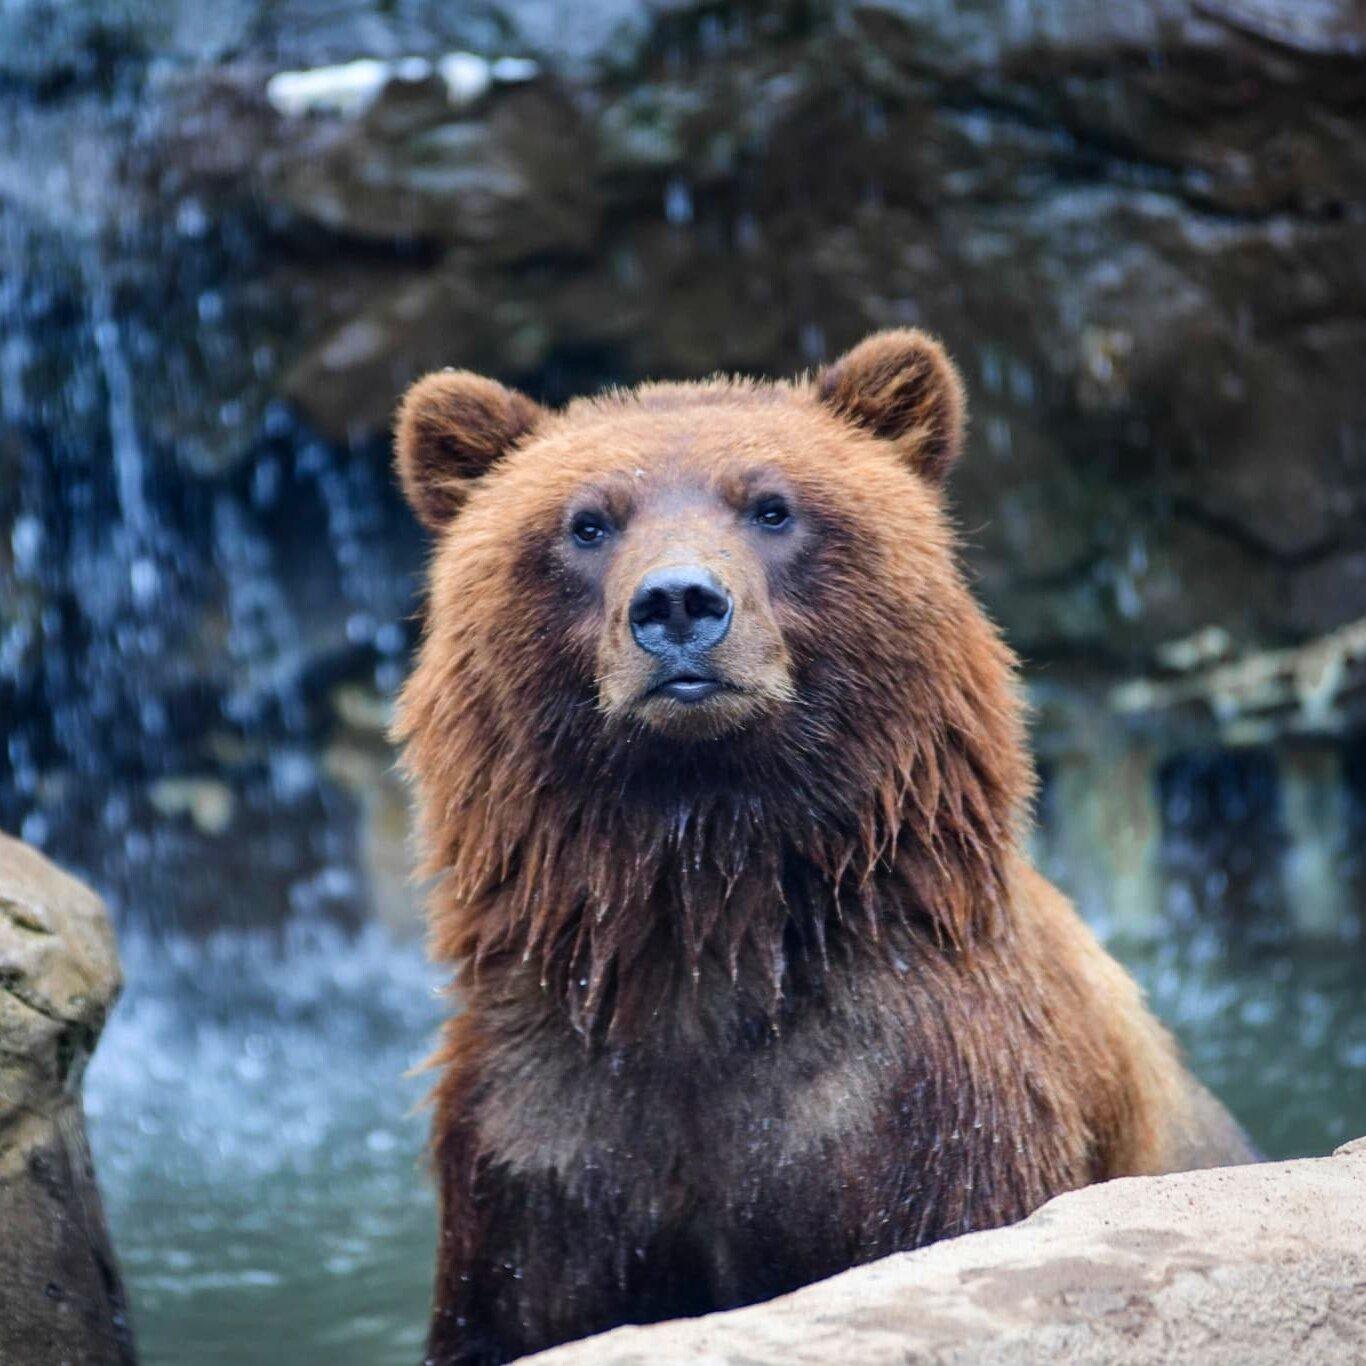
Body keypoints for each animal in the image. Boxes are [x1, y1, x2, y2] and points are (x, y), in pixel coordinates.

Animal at [390, 333, 1251, 1366]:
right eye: (586, 523)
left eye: (772, 506)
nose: (679, 604)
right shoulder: (546, 1134)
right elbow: (519, 1295)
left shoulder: (919, 1095)